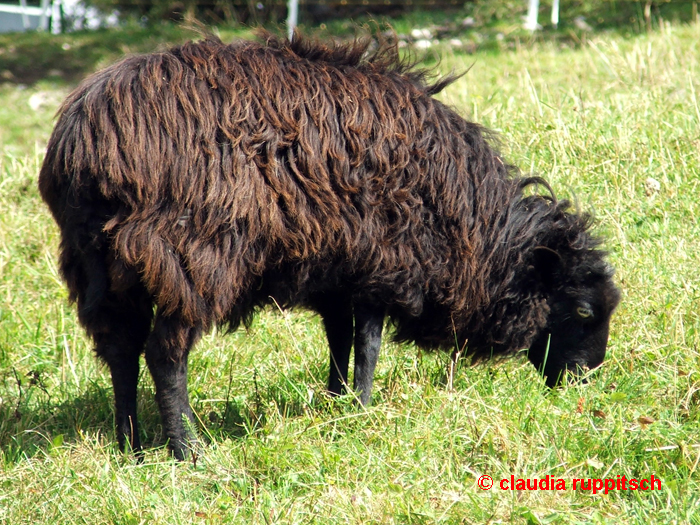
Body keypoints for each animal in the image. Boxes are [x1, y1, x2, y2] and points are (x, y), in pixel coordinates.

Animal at [38, 32, 620, 458]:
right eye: (583, 310)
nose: (584, 382)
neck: (471, 229)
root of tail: (87, 141)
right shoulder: (381, 263)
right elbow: (368, 344)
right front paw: (362, 409)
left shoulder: (337, 272)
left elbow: (340, 341)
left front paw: (338, 404)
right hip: (192, 254)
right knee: (164, 353)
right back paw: (187, 451)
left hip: (100, 266)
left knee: (120, 348)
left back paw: (131, 446)